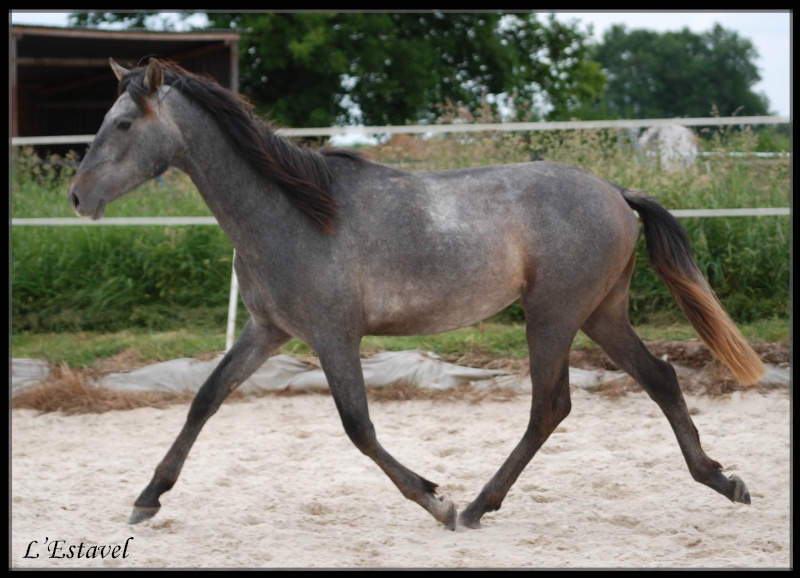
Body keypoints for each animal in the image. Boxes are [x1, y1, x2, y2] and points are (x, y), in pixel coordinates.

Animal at [67, 57, 764, 528]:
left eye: (122, 124)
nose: (76, 198)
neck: (292, 213)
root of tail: (616, 192)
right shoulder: (267, 330)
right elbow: (204, 399)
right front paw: (146, 499)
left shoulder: (334, 336)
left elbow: (358, 427)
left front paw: (435, 499)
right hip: (600, 314)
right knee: (660, 378)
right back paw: (723, 481)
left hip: (554, 314)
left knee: (550, 407)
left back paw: (477, 507)